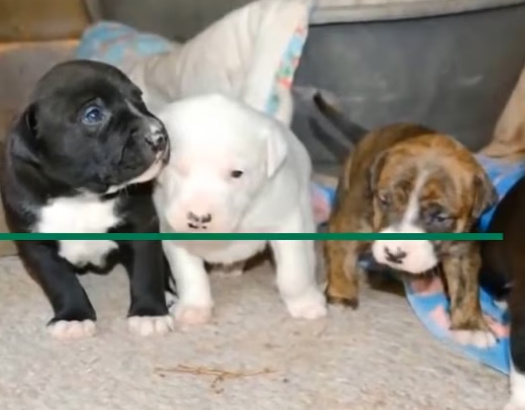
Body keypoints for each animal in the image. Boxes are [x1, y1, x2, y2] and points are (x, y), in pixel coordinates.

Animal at [0, 60, 174, 340]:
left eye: (139, 98)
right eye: (93, 115)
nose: (159, 135)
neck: (80, 196)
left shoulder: (142, 225)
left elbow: (146, 272)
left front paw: (149, 313)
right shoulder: (36, 246)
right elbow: (60, 281)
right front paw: (74, 316)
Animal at [153, 93, 327, 327]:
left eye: (237, 173)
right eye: (176, 167)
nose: (198, 218)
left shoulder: (287, 223)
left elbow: (293, 273)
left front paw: (306, 304)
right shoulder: (172, 233)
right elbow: (188, 274)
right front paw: (194, 308)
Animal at [313, 92, 498, 348]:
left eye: (440, 217)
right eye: (384, 200)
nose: (395, 254)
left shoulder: (463, 248)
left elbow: (466, 286)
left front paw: (471, 326)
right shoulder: (352, 223)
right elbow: (342, 258)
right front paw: (341, 296)